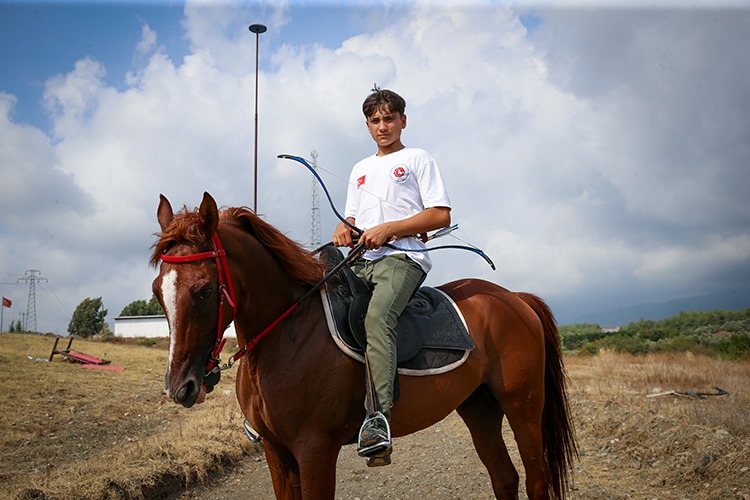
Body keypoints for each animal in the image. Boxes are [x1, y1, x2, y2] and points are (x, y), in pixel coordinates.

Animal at [151, 192, 576, 500]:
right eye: (158, 290)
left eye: (204, 290)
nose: (180, 387)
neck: (286, 333)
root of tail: (514, 298)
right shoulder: (276, 451)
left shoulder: (315, 449)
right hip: (480, 408)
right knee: (505, 478)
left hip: (523, 406)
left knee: (536, 479)